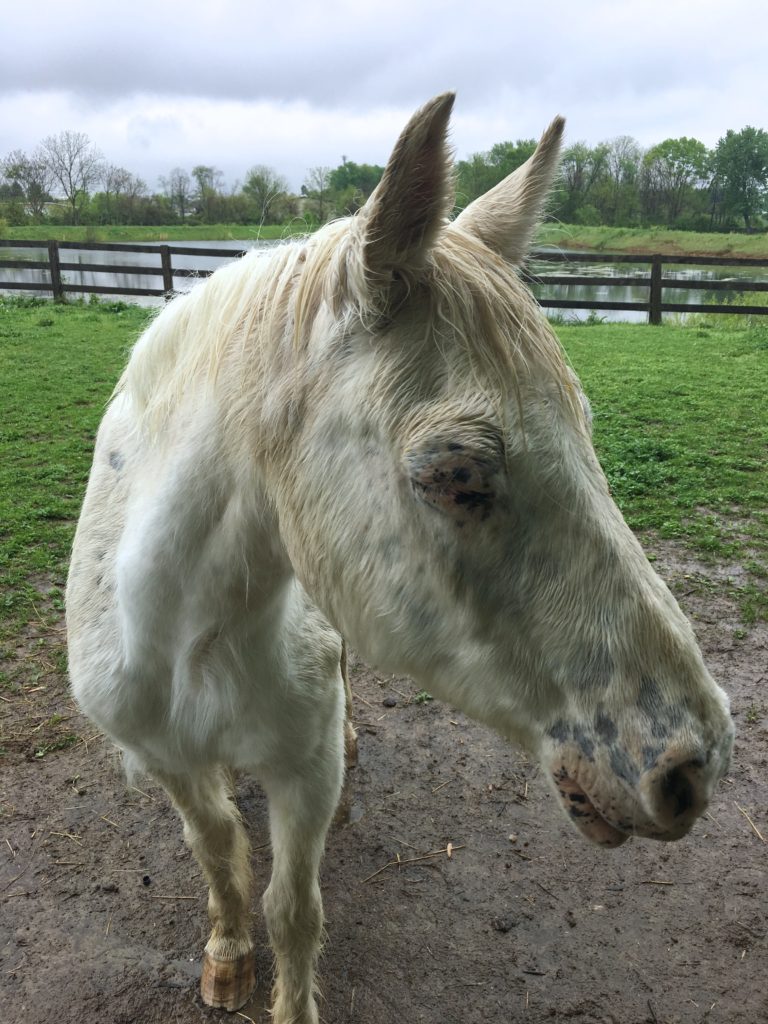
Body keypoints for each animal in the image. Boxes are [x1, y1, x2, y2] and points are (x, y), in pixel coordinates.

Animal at [67, 92, 733, 1019]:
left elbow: (293, 909)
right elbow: (219, 851)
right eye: (454, 473)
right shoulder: (168, 762)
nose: (691, 765)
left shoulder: (304, 774)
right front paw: (227, 957)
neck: (185, 637)